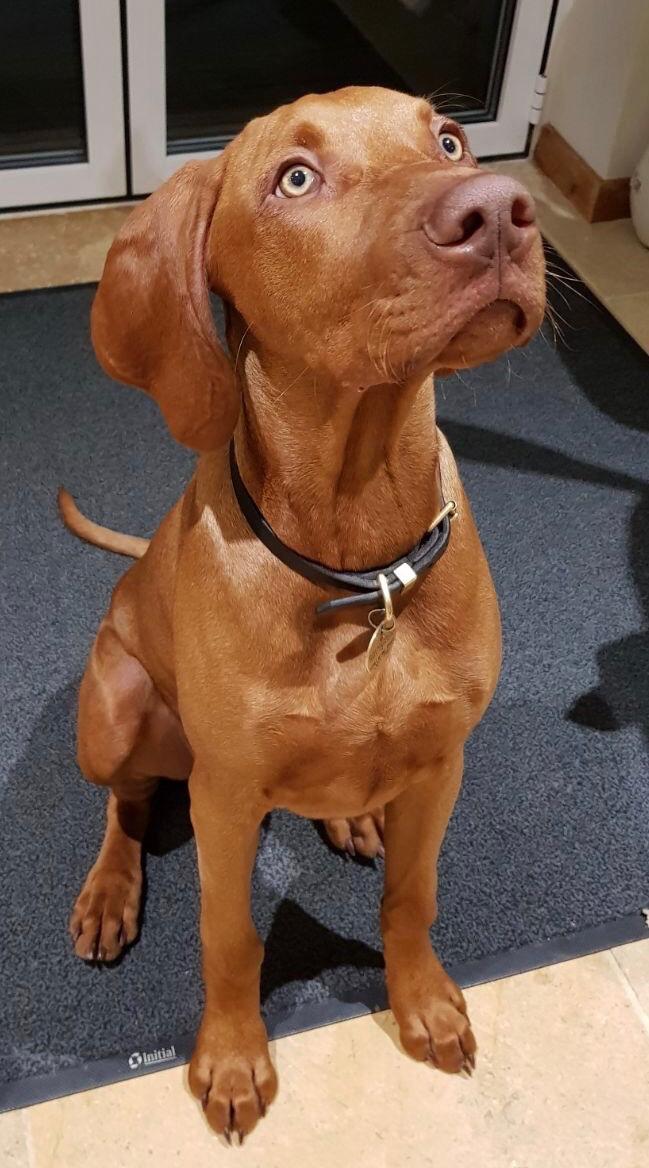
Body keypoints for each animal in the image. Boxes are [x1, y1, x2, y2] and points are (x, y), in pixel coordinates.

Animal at [60, 88, 543, 1139]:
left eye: (450, 140)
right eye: (294, 178)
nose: (497, 212)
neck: (360, 563)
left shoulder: (441, 763)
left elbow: (413, 897)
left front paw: (422, 1002)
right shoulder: (226, 795)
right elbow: (229, 935)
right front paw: (235, 1059)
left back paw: (351, 818)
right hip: (113, 712)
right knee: (125, 802)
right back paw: (110, 891)